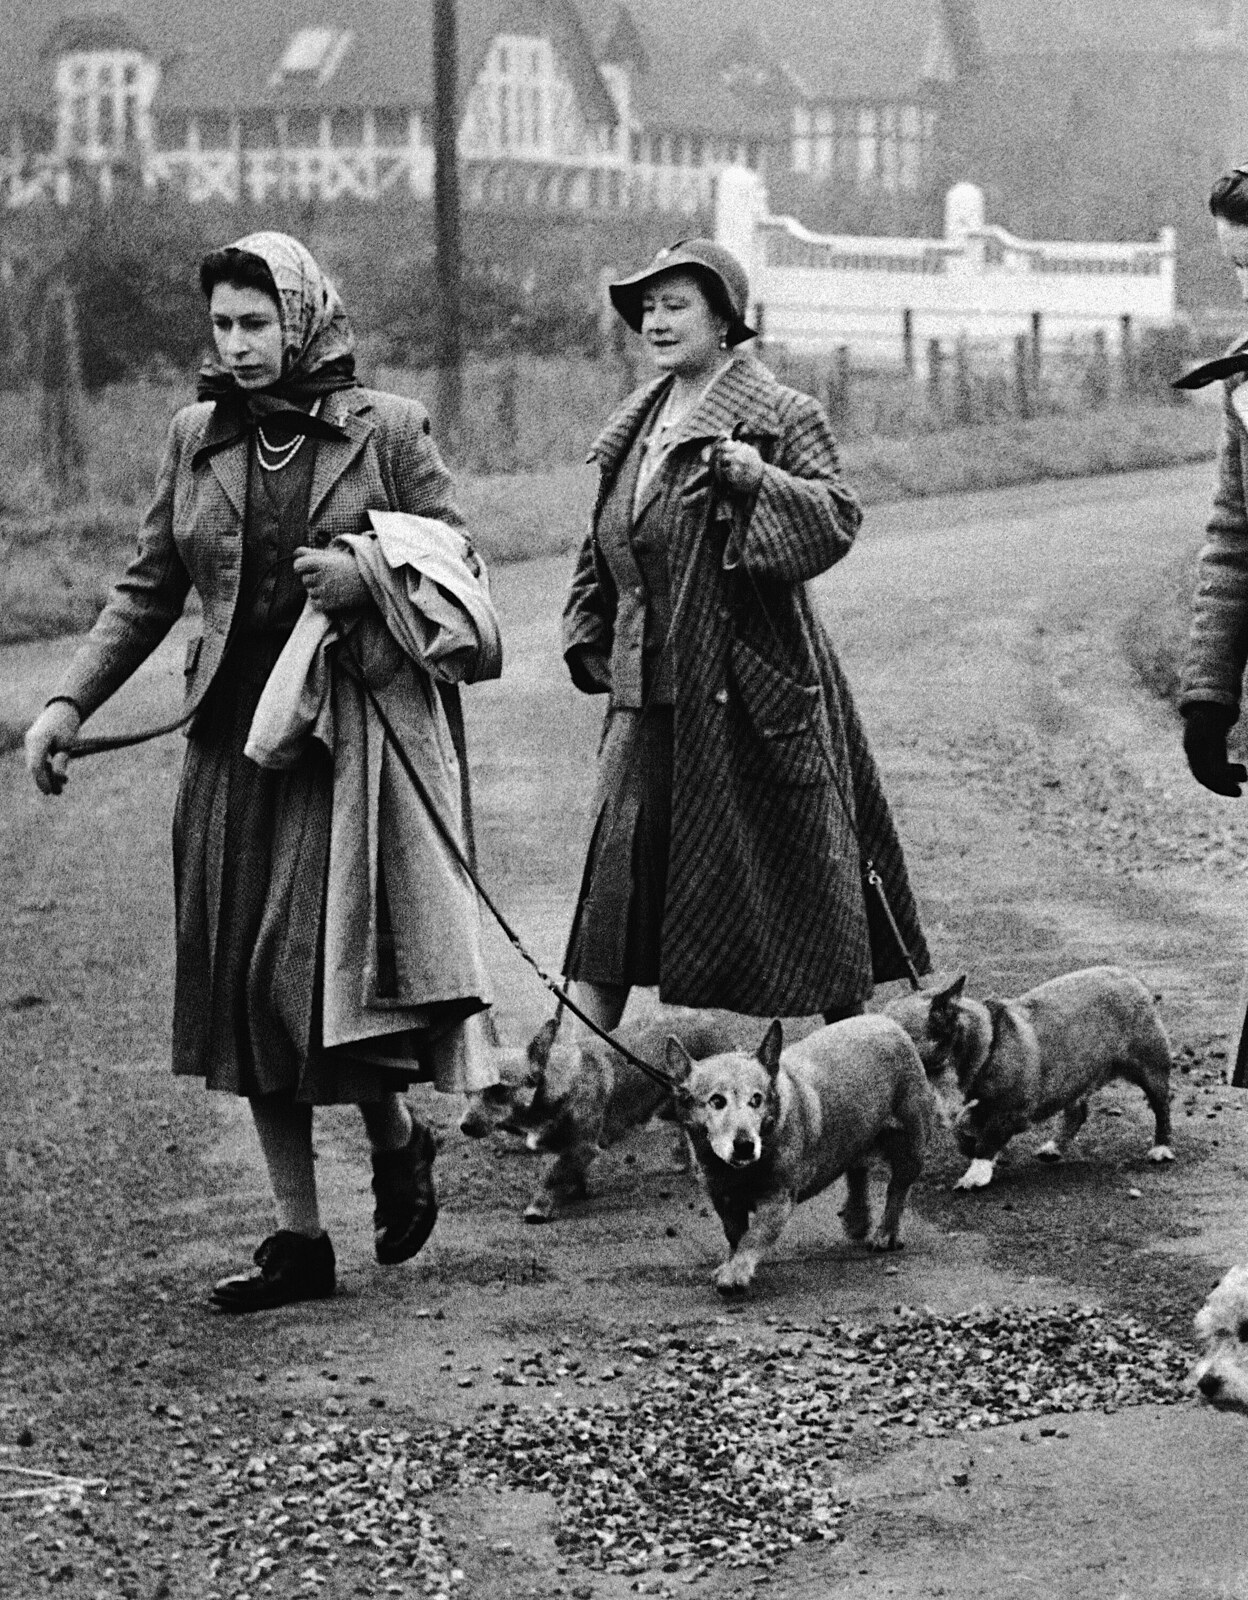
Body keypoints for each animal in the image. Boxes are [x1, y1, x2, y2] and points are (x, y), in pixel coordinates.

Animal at [483, 1011, 739, 1223]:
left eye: (498, 1090)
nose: (471, 1126)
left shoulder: (582, 1147)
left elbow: (554, 1175)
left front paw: (538, 1208)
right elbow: (564, 1171)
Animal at [665, 1015, 933, 1295]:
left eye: (757, 1099)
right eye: (717, 1101)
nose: (745, 1145)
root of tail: (889, 1022)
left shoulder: (777, 1199)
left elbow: (754, 1236)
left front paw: (735, 1274)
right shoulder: (724, 1199)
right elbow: (736, 1236)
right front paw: (732, 1265)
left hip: (910, 1146)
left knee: (897, 1189)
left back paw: (885, 1234)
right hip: (855, 1135)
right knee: (857, 1171)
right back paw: (857, 1218)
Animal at [885, 966, 1174, 1190]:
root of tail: (1132, 978)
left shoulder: (1008, 1111)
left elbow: (987, 1139)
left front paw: (976, 1173)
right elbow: (963, 1130)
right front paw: (973, 1147)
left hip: (1150, 1069)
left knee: (1161, 1106)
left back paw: (1161, 1148)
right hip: (1071, 1076)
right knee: (1076, 1112)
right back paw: (1053, 1147)